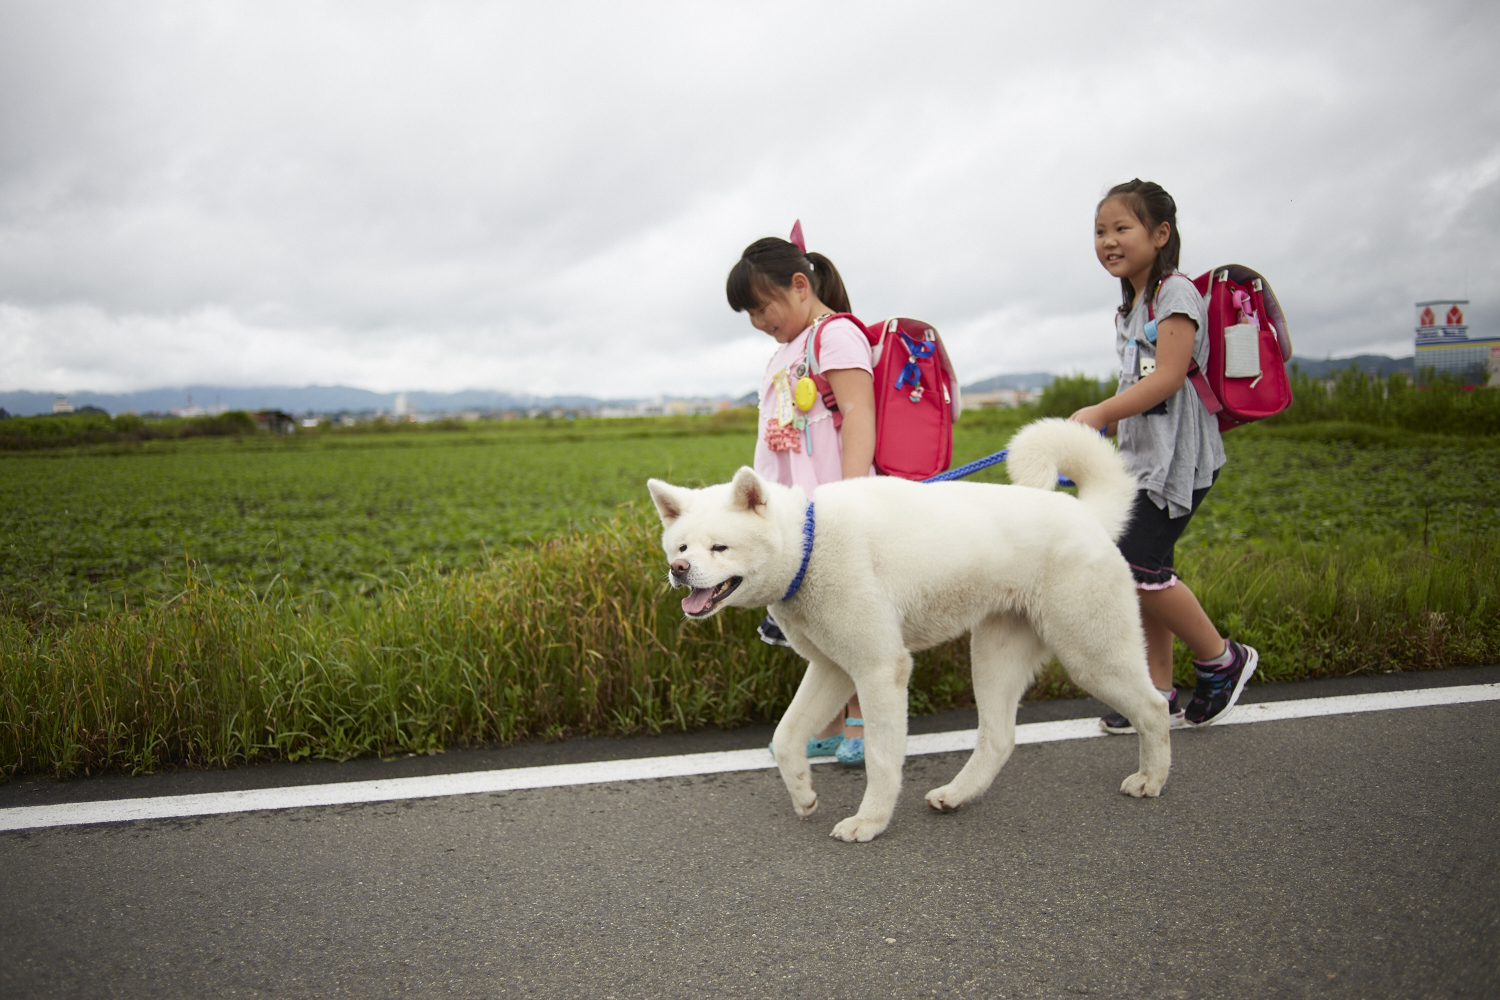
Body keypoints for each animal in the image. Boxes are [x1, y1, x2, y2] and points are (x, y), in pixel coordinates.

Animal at [648, 419, 1170, 839]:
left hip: (1090, 654)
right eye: (682, 546)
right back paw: (956, 795)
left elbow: (879, 758)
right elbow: (785, 737)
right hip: (994, 657)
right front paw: (803, 795)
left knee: (1153, 706)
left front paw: (870, 822)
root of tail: (1088, 515)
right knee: (999, 738)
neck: (810, 546)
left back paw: (1152, 779)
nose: (678, 569)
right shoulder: (833, 668)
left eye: (719, 547)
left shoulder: (880, 668)